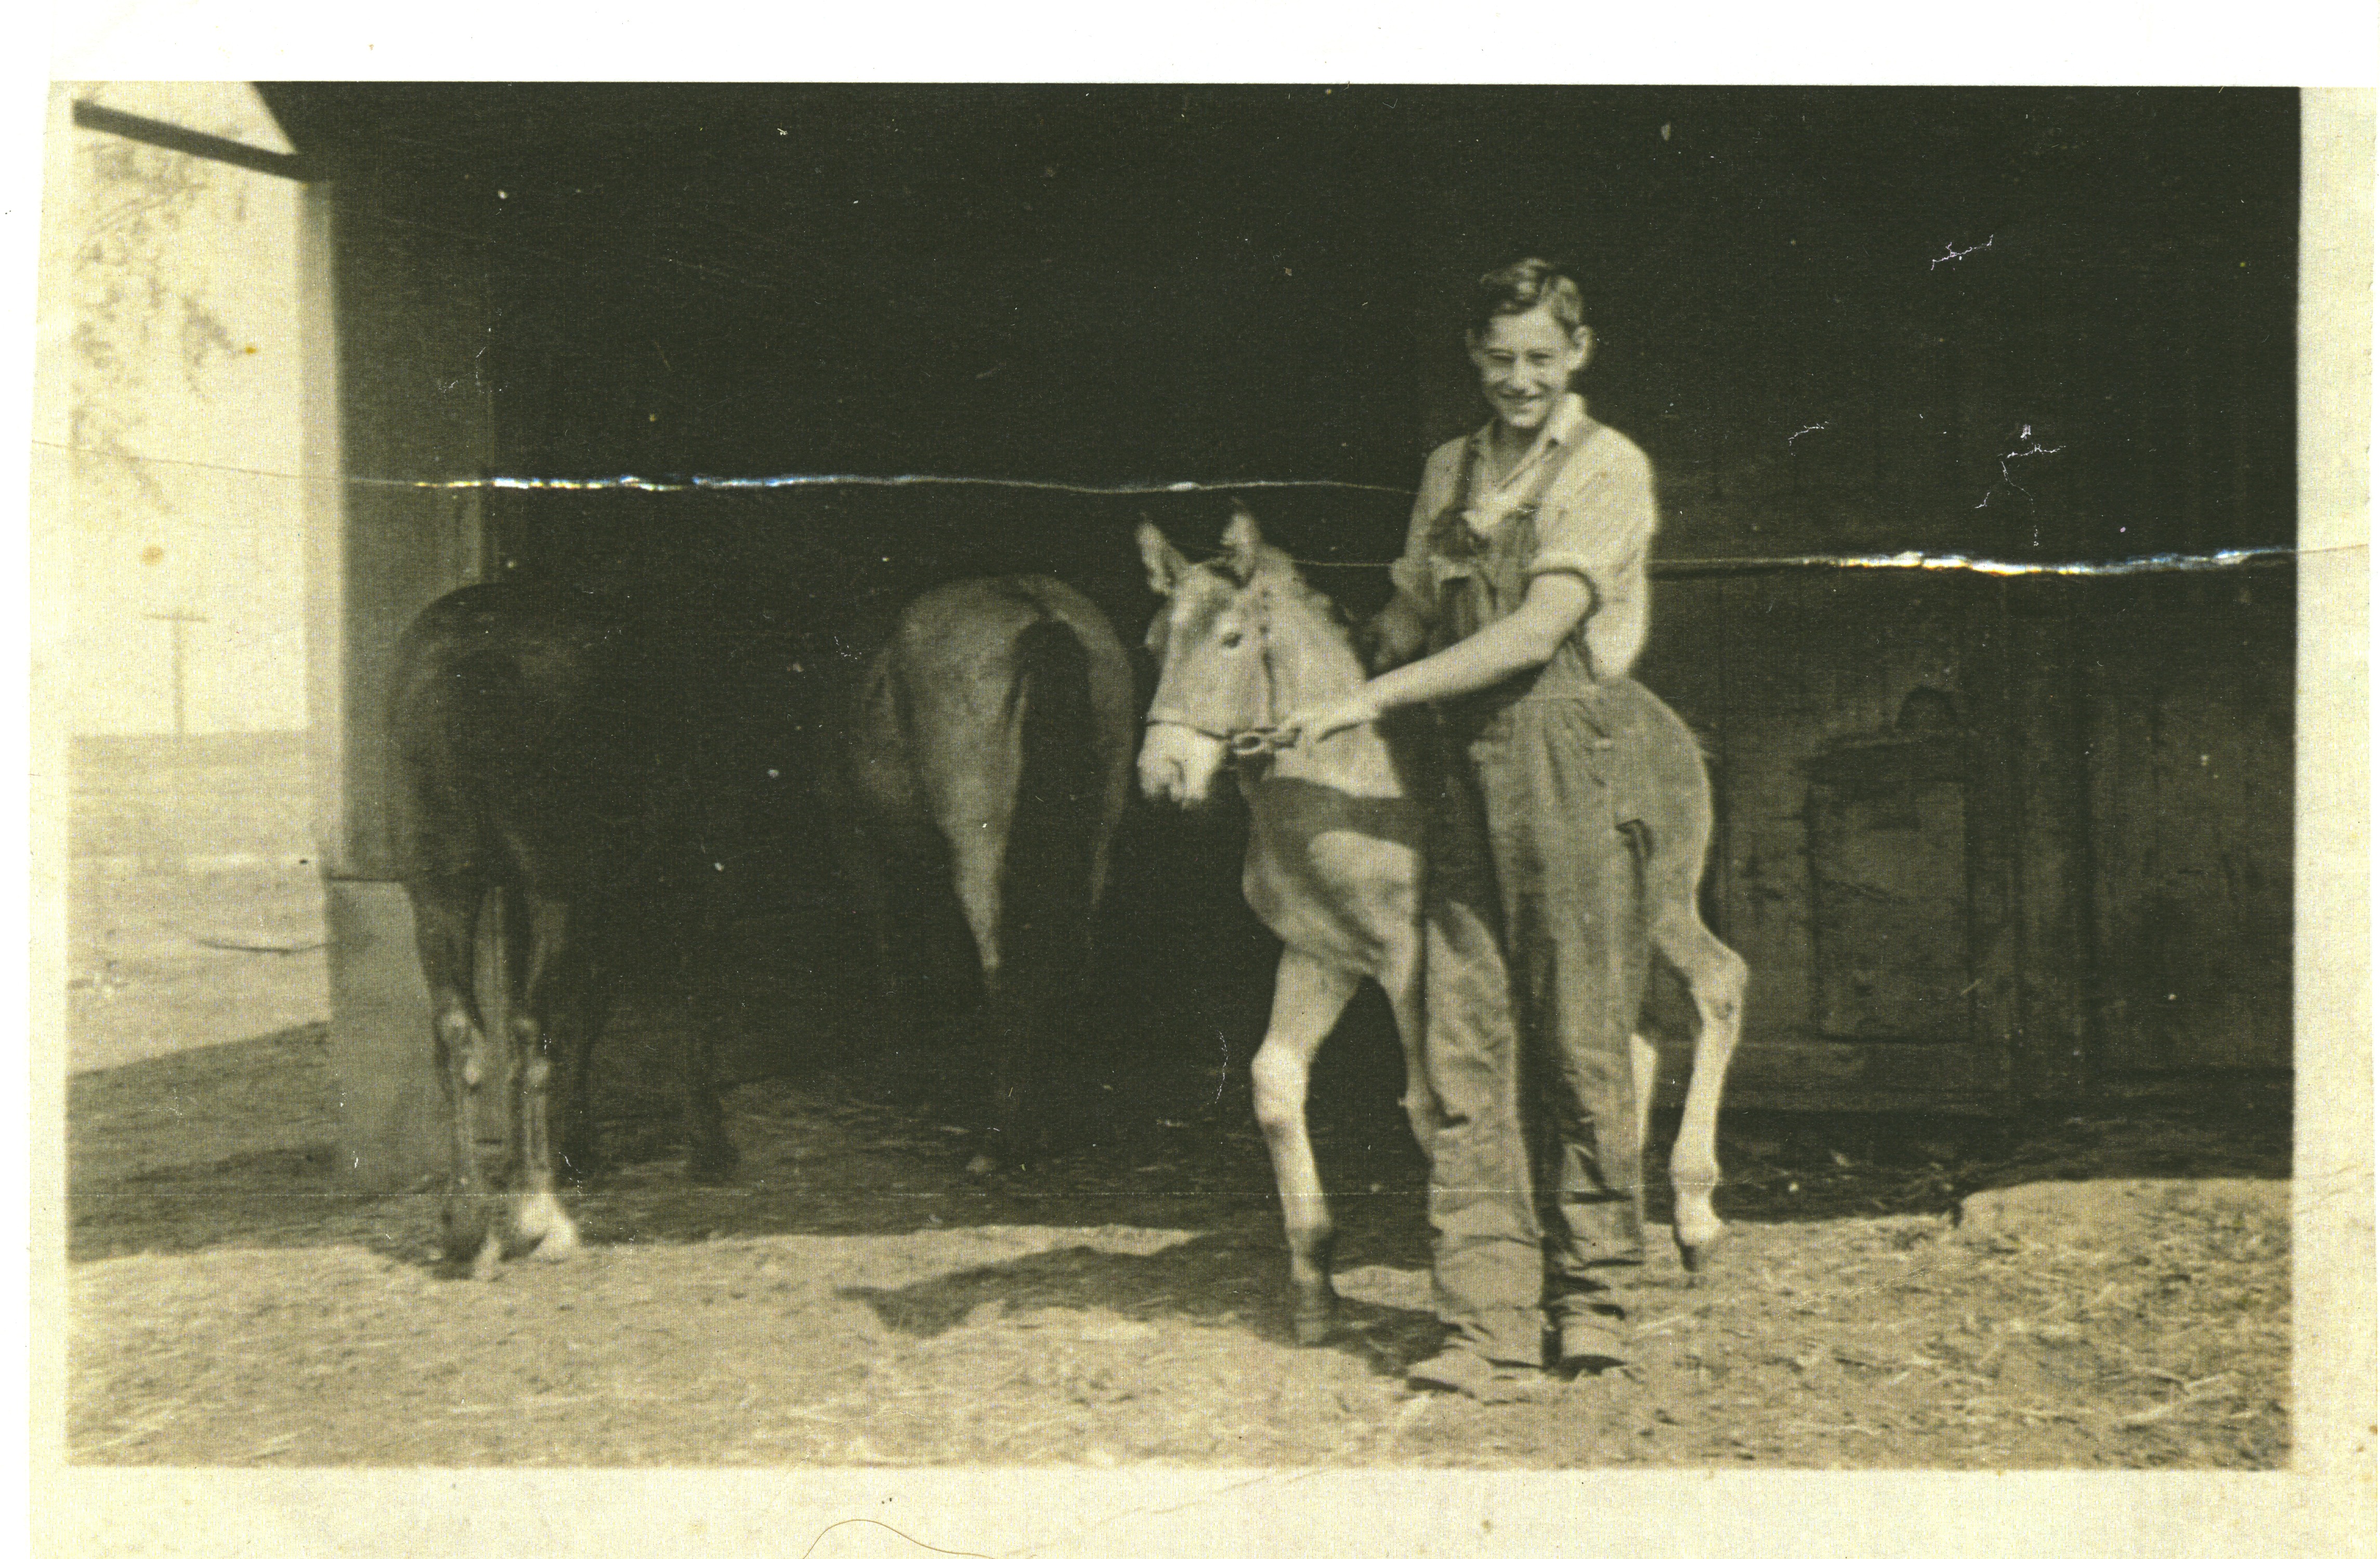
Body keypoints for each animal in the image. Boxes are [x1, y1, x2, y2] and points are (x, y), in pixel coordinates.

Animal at [389, 580, 761, 1279]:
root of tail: (464, 672)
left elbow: (593, 1002)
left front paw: (575, 1145)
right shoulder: (693, 856)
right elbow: (689, 990)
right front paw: (708, 1141)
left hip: (440, 875)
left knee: (458, 1031)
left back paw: (466, 1224)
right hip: (553, 880)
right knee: (530, 1030)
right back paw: (536, 1218)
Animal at [823, 575, 1136, 1173]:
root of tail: (1039, 613)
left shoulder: (860, 844)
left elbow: (891, 952)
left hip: (980, 846)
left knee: (1000, 968)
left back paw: (1002, 1139)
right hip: (1099, 838)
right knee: (1073, 961)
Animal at [1134, 506, 1748, 1344]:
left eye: (1230, 639)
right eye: (1152, 644)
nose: (1161, 777)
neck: (1338, 783)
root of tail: (1669, 724)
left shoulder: (1408, 959)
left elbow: (1432, 1104)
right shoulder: (1319, 955)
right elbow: (1274, 1082)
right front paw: (1315, 1288)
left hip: (1661, 905)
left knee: (1718, 985)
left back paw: (1694, 1218)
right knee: (1628, 1031)